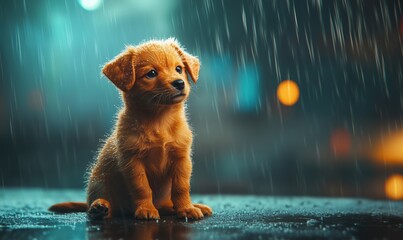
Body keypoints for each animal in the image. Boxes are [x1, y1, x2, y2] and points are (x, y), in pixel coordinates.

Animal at [49, 38, 213, 220]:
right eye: (151, 73)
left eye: (179, 69)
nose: (179, 83)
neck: (159, 121)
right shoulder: (132, 161)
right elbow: (142, 188)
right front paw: (146, 209)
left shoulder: (181, 158)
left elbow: (181, 187)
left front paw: (186, 208)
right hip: (99, 181)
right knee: (105, 202)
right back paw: (100, 207)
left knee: (167, 204)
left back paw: (192, 206)